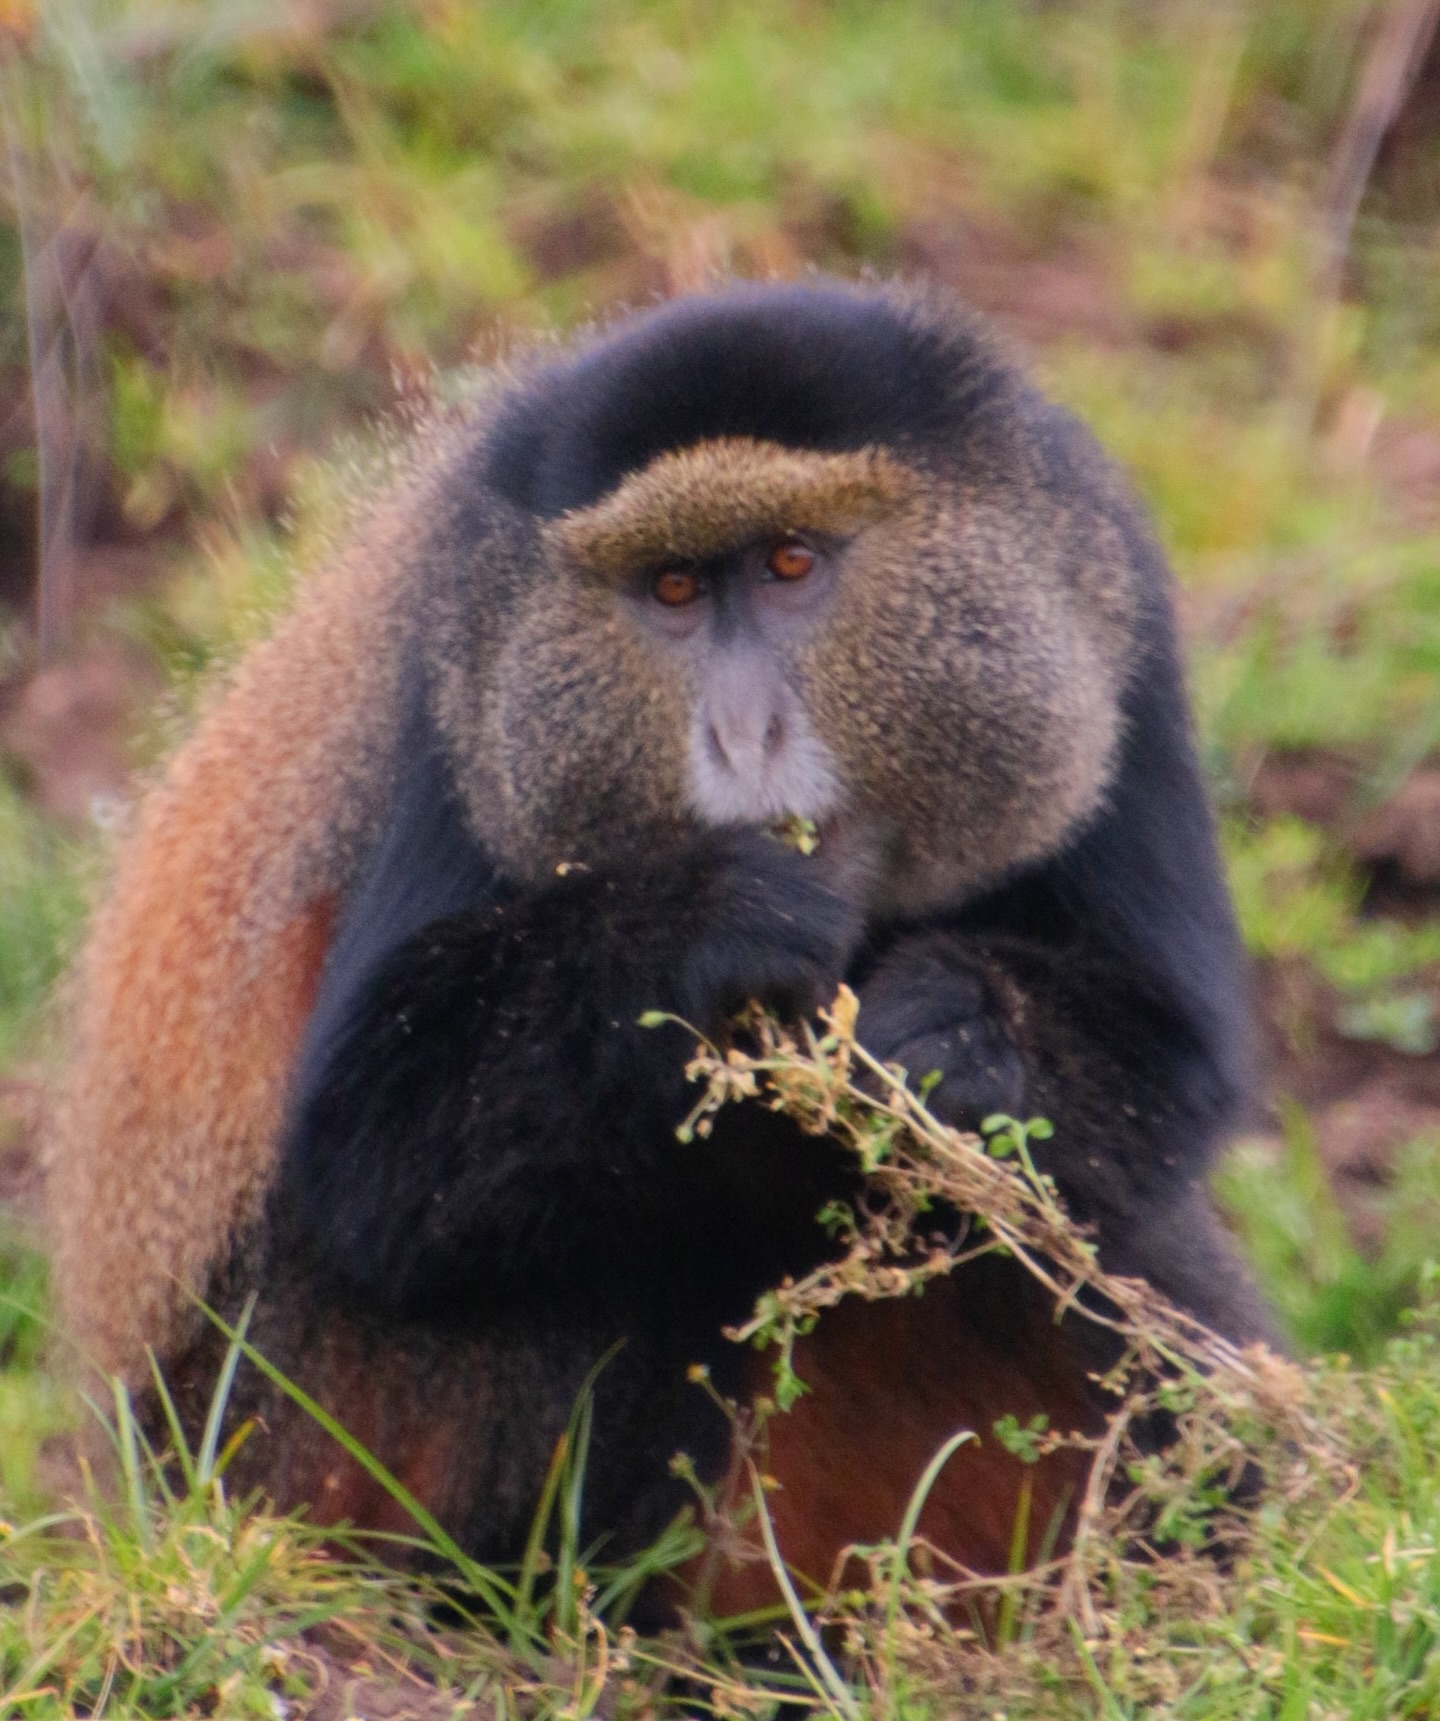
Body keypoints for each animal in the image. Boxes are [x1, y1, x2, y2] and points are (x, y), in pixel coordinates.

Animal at [45, 279, 1274, 1613]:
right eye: (674, 589)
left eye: (790, 563)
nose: (745, 732)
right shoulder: (461, 700)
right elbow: (371, 1145)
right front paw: (704, 928)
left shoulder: (1106, 603)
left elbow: (1166, 1053)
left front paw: (965, 1030)